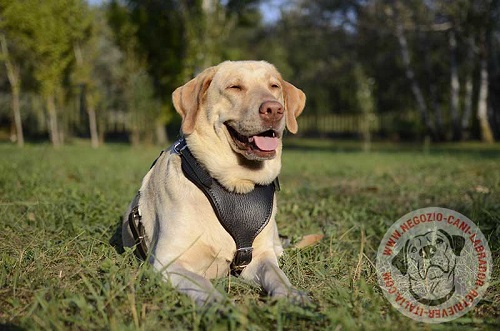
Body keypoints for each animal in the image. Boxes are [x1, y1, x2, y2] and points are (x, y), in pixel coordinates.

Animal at [123, 60, 306, 306]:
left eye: (274, 86)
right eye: (235, 87)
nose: (274, 109)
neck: (236, 184)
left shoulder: (260, 257)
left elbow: (276, 275)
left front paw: (291, 294)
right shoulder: (170, 262)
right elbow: (206, 286)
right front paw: (222, 306)